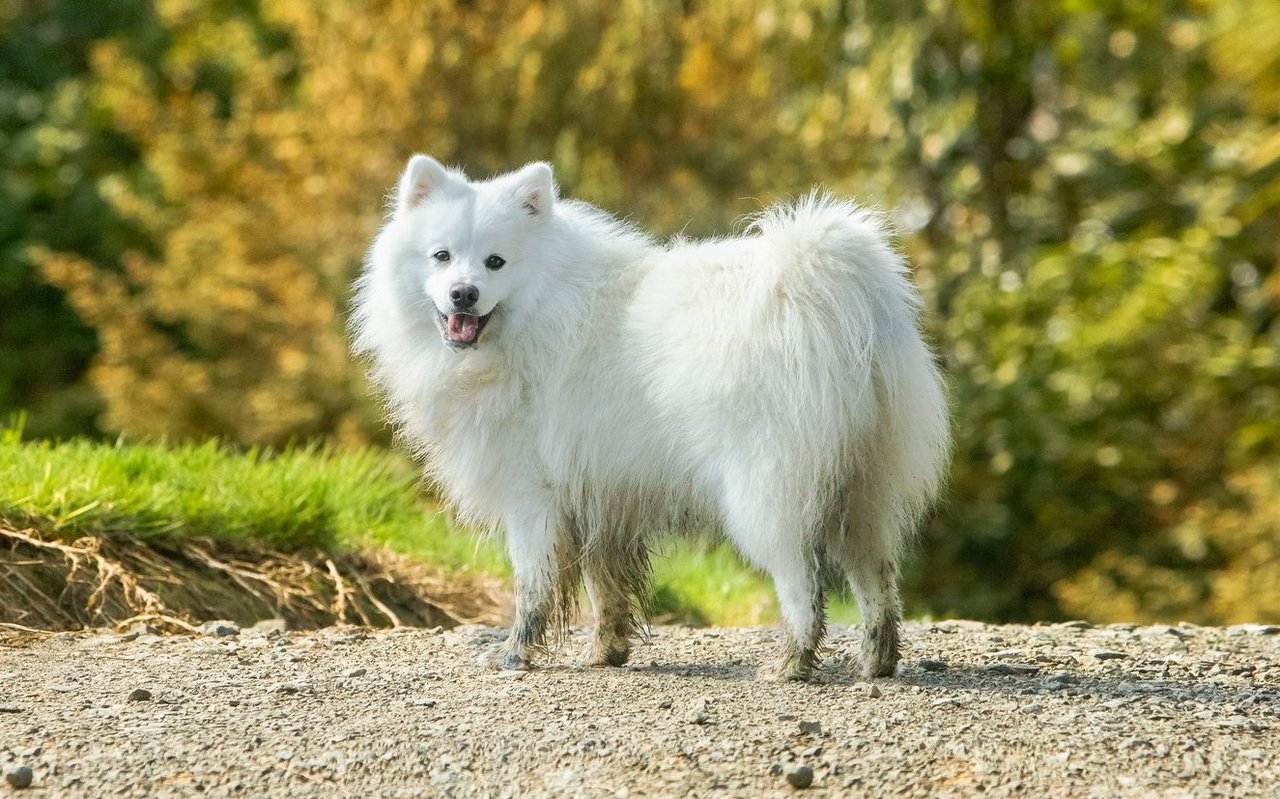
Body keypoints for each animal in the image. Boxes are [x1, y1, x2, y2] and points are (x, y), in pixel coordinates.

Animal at [350, 156, 952, 681]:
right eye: (442, 256)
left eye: (495, 261)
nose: (463, 294)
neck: (538, 313)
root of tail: (829, 288)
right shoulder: (597, 496)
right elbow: (605, 590)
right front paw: (605, 653)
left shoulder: (532, 496)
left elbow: (533, 587)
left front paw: (515, 654)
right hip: (864, 486)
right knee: (877, 580)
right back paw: (876, 662)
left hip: (768, 493)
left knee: (802, 583)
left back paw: (790, 664)